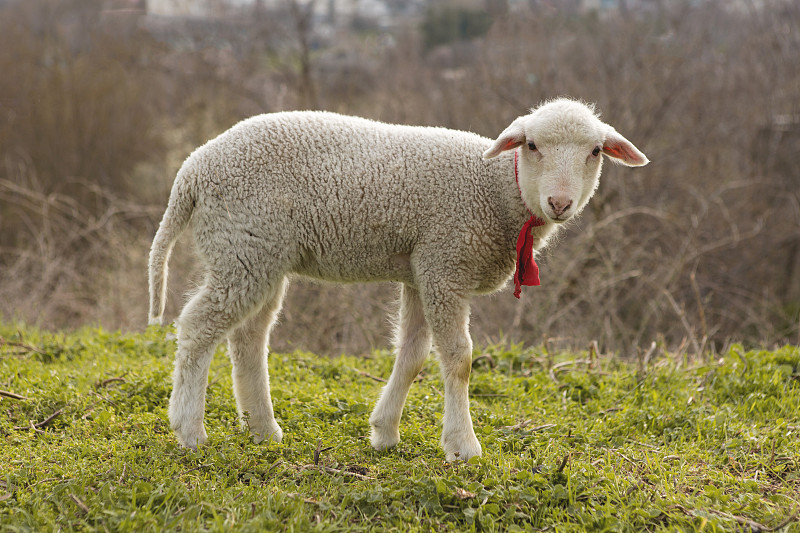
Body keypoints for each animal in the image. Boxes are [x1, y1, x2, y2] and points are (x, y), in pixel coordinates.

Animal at [148, 97, 648, 460]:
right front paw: (463, 446)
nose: (560, 203)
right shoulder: (446, 265)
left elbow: (412, 354)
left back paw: (262, 428)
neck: (496, 190)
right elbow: (459, 359)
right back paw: (190, 430)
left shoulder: (421, 270)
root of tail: (192, 171)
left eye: (595, 152)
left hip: (259, 256)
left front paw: (384, 430)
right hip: (242, 247)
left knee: (248, 337)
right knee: (197, 327)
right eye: (531, 146)